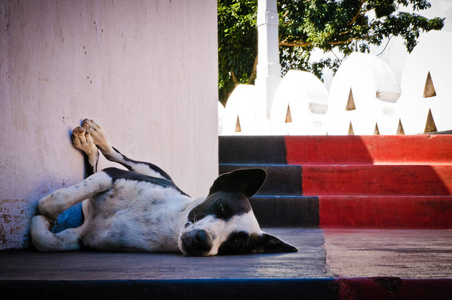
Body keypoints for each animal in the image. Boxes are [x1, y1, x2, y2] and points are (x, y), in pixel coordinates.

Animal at [29, 119, 296, 255]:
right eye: (221, 206)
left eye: (239, 242)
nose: (202, 241)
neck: (167, 224)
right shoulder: (112, 176)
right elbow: (60, 198)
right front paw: (46, 211)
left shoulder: (81, 238)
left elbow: (43, 239)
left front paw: (42, 222)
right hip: (150, 170)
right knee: (116, 156)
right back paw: (95, 139)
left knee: (95, 164)